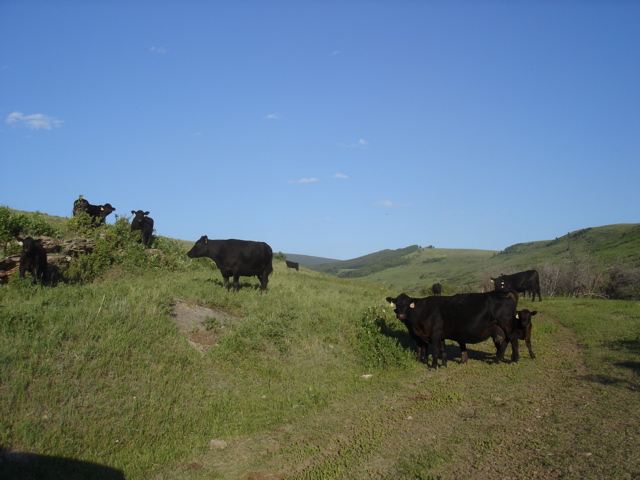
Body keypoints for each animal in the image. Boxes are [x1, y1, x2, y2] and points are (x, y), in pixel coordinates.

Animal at [384, 290, 516, 370]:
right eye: (397, 304)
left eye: (408, 304)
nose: (401, 315)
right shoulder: (437, 335)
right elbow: (442, 349)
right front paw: (443, 364)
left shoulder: (435, 334)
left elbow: (435, 350)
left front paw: (433, 366)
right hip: (497, 329)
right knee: (503, 342)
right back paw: (496, 361)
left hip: (507, 325)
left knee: (513, 340)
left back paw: (514, 360)